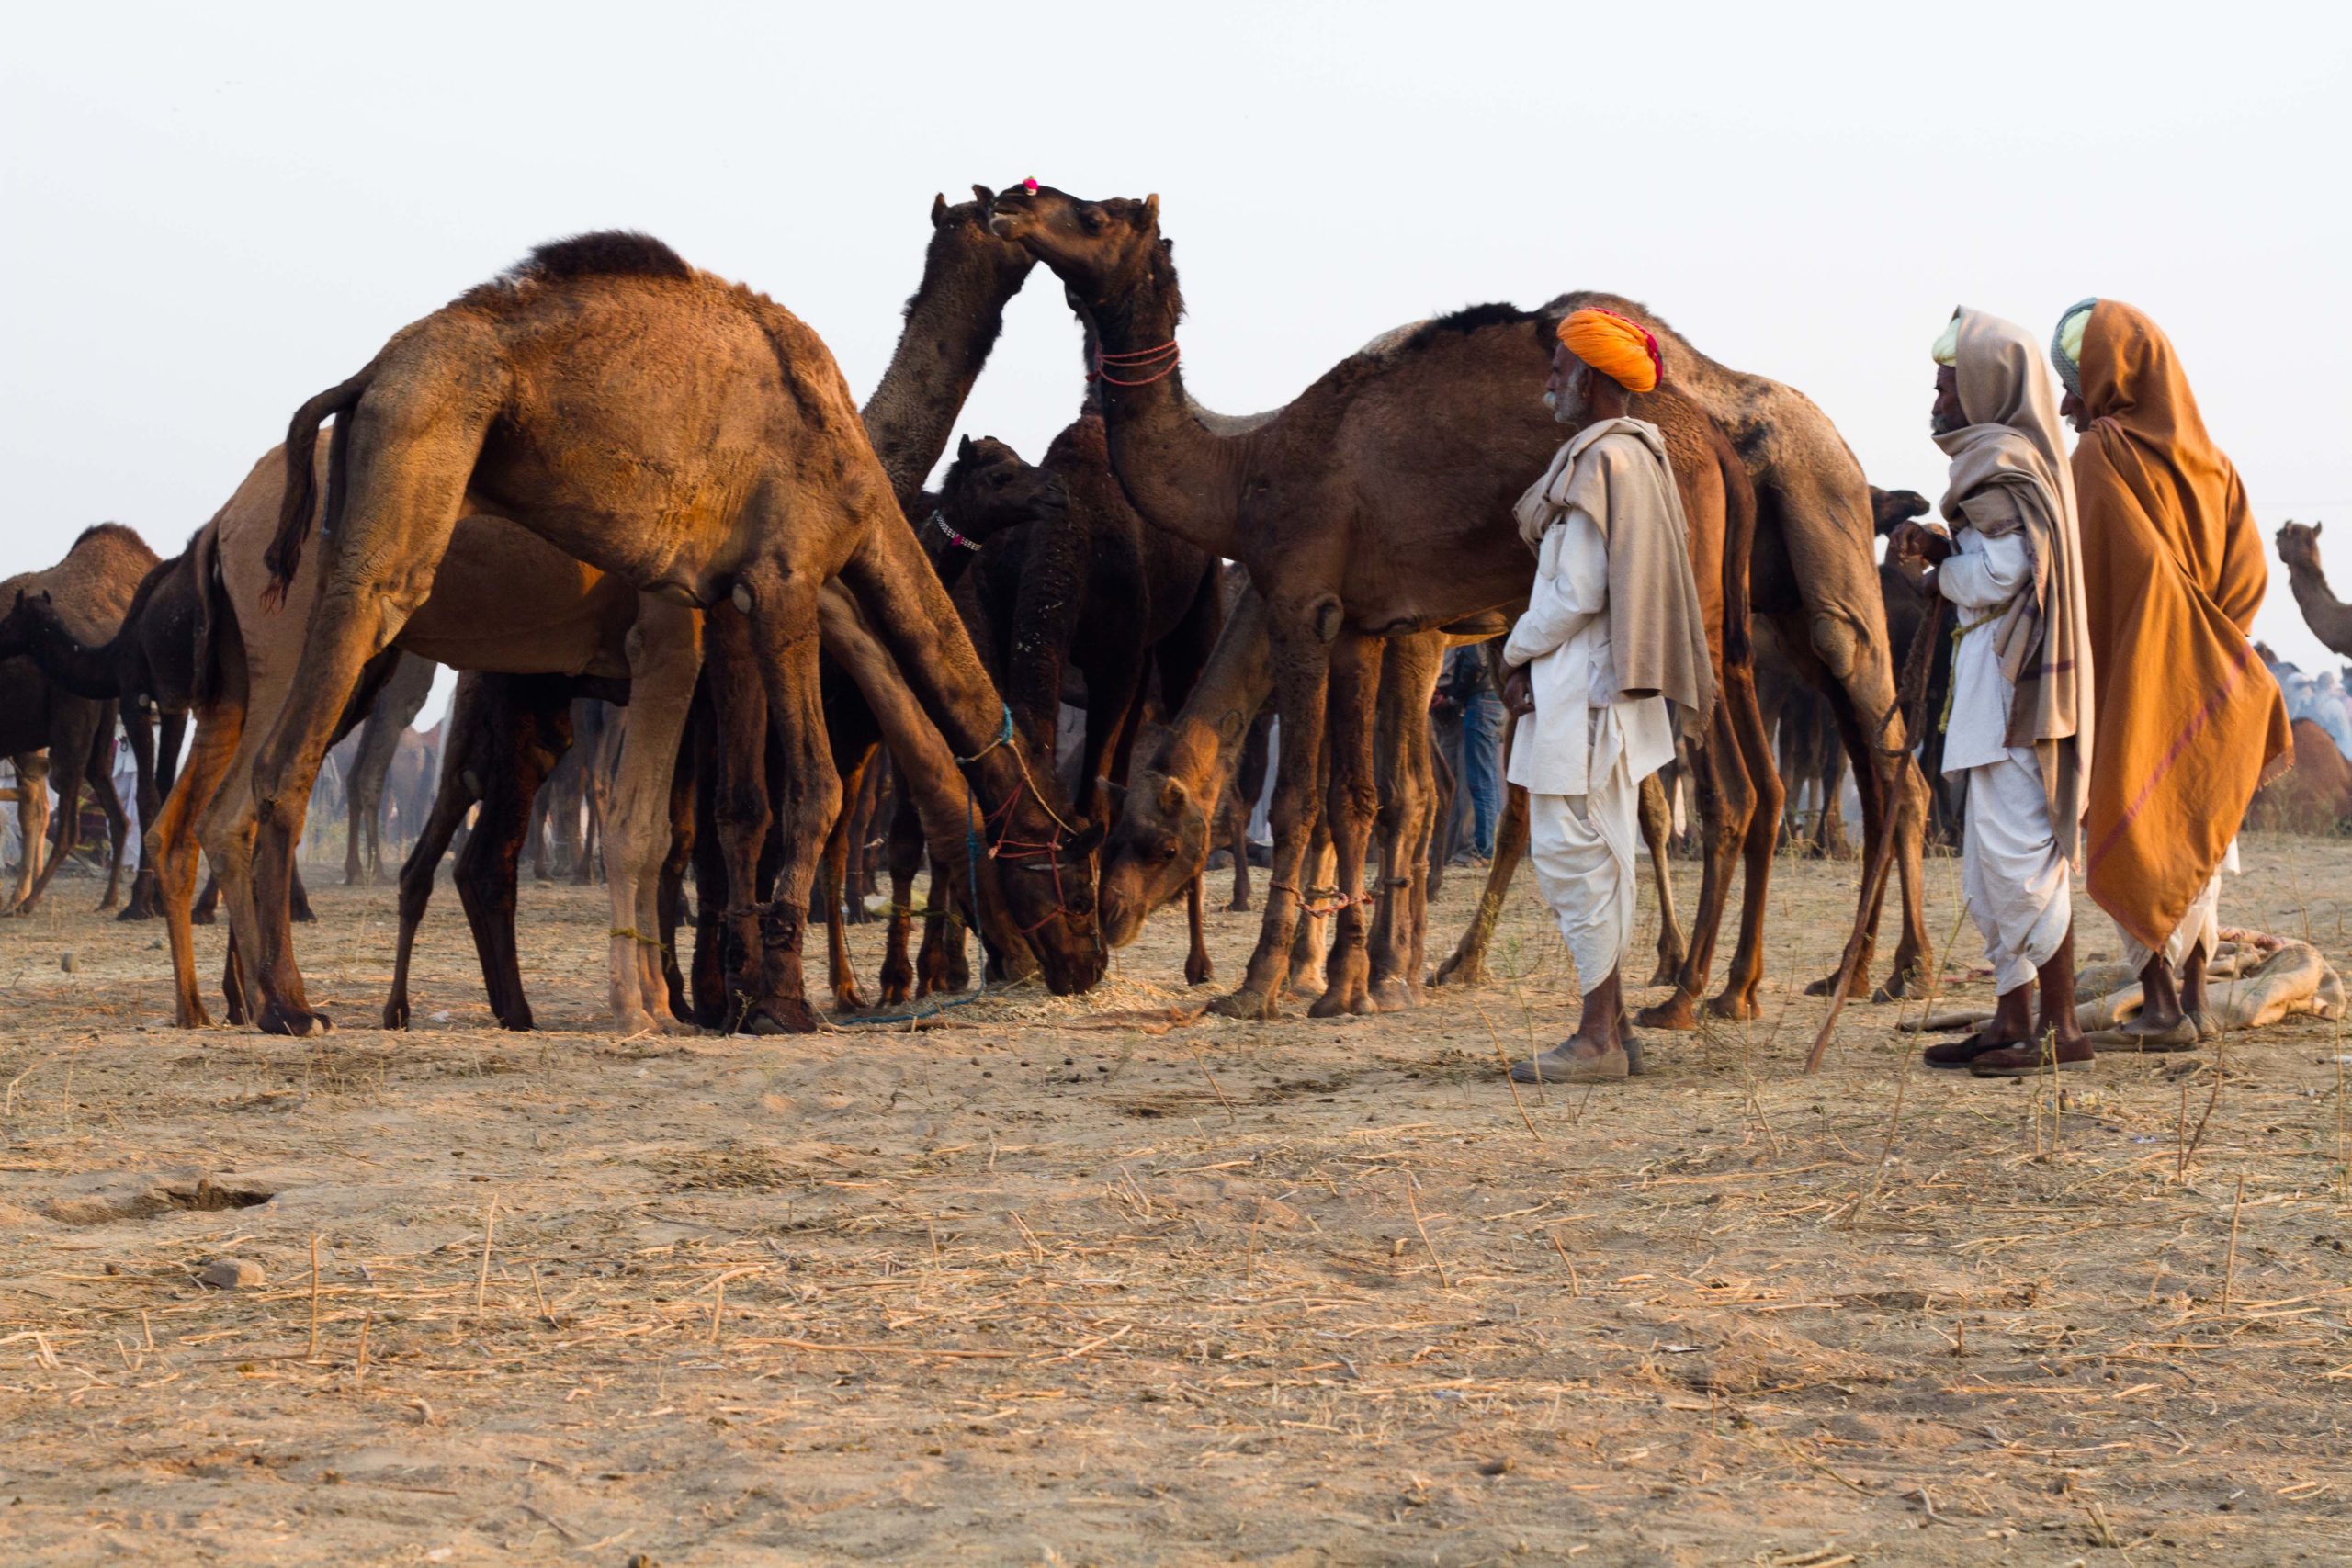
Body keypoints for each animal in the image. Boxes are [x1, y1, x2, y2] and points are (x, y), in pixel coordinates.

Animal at [250, 226, 1101, 1034]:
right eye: (1075, 875)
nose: (1084, 964)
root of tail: (368, 374)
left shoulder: (734, 601)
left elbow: (719, 816)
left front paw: (725, 995)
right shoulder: (783, 579)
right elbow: (810, 792)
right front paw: (775, 1000)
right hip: (410, 473)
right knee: (304, 739)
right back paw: (291, 1004)